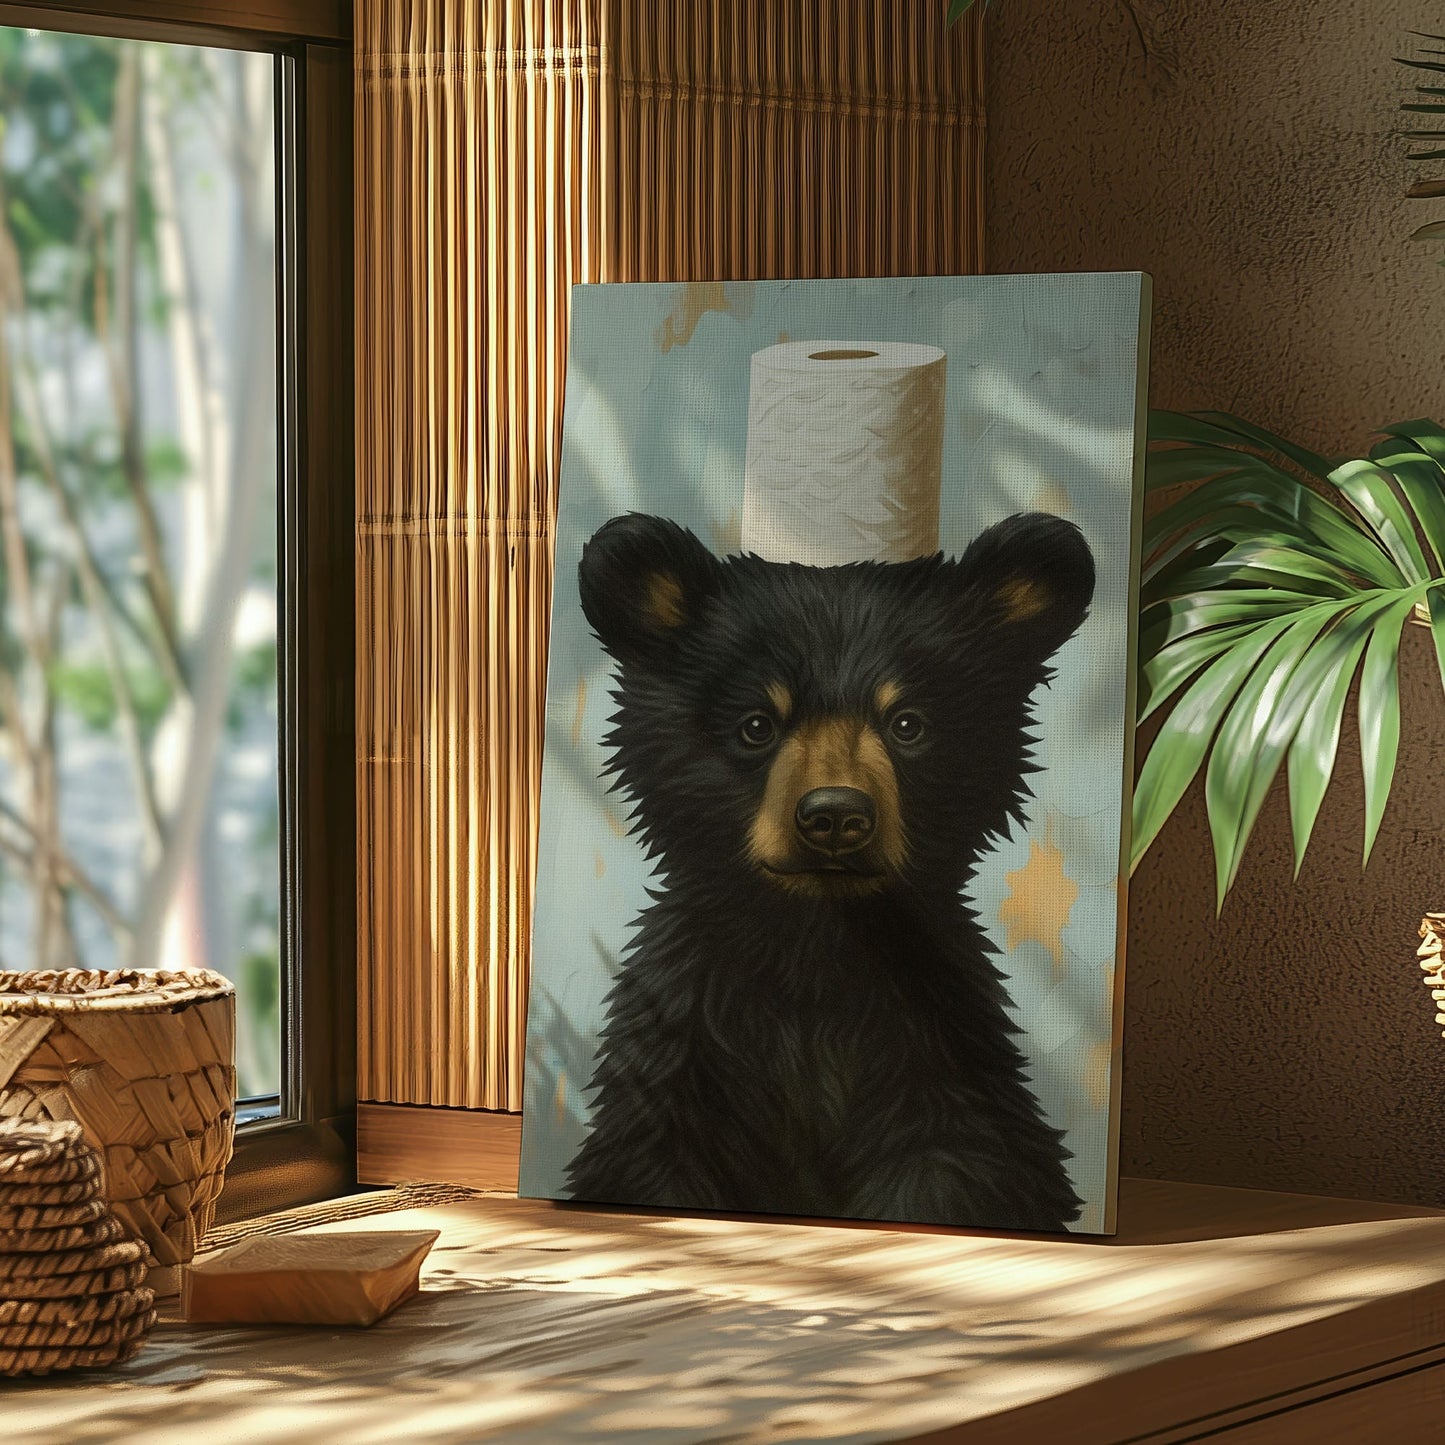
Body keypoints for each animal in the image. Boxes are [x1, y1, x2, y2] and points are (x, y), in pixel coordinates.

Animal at [564, 508, 1095, 1232]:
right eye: (756, 724)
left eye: (907, 723)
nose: (836, 817)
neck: (815, 943)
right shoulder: (679, 1058)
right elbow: (652, 1155)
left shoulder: (937, 1054)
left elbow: (958, 1163)